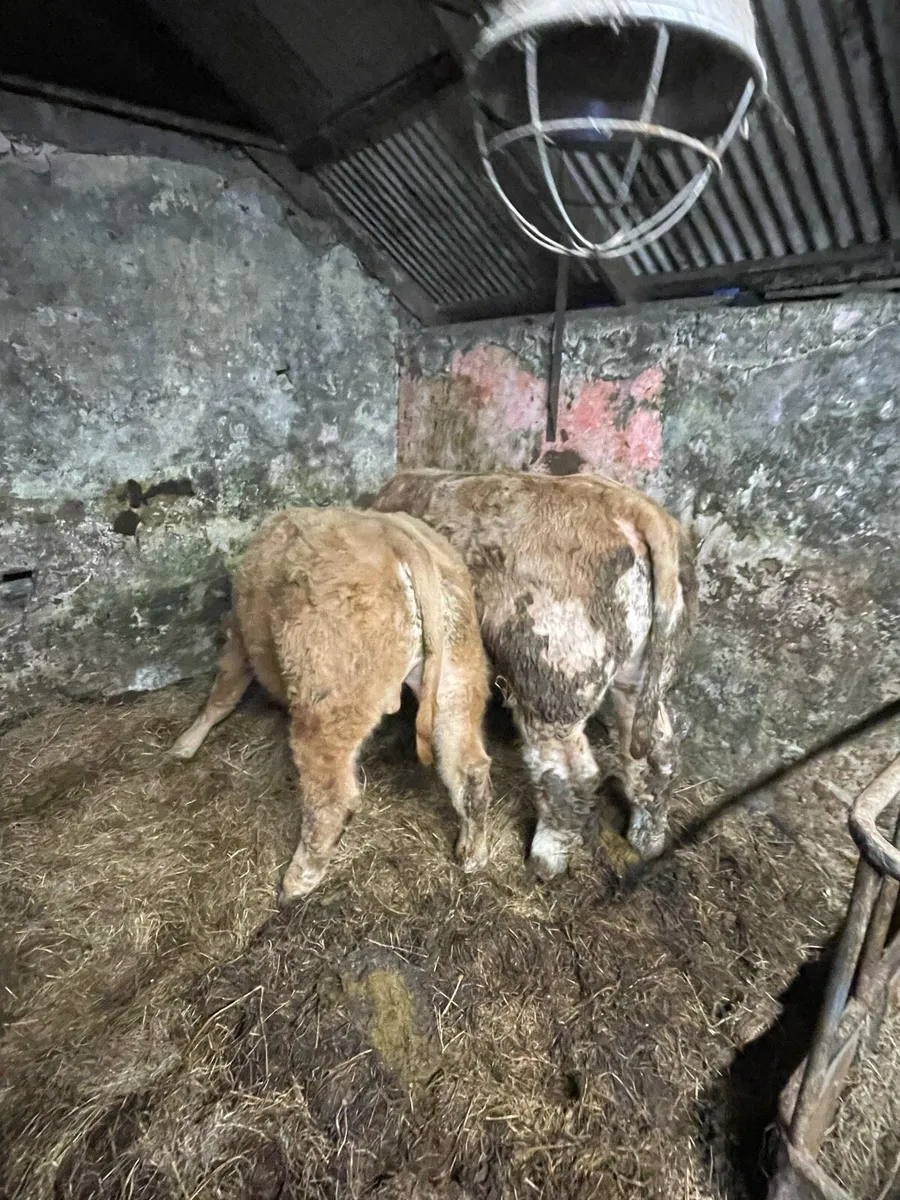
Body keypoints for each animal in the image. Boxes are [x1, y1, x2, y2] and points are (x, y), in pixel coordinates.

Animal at [170, 507, 493, 902]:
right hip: (457, 677)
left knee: (332, 797)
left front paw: (185, 743)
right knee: (468, 768)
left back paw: (298, 881)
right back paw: (472, 852)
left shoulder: (241, 641)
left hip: (328, 700)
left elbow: (223, 693)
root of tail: (392, 534)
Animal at [371, 469, 697, 880]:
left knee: (570, 775)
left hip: (552, 683)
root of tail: (630, 504)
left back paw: (544, 860)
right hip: (641, 678)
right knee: (658, 752)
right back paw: (646, 840)